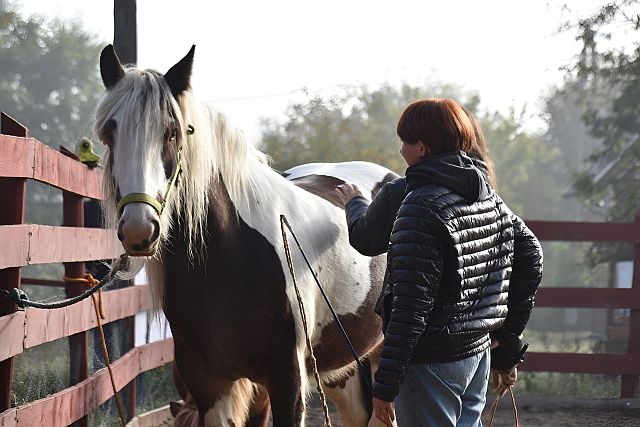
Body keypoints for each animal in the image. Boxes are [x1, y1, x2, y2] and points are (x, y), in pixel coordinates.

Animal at [95, 44, 398, 427]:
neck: (229, 260)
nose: (139, 228)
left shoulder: (286, 383)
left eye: (172, 132)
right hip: (342, 370)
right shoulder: (210, 386)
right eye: (110, 132)